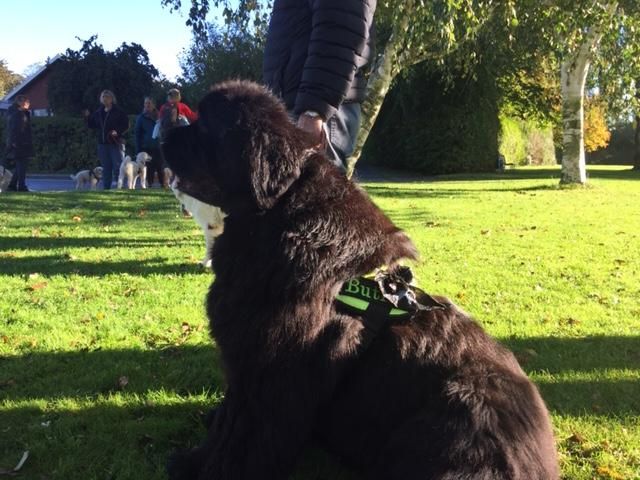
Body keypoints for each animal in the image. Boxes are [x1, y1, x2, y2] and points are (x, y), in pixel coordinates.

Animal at [162, 81, 559, 480]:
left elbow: (242, 436)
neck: (276, 213)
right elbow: (230, 420)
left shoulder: (269, 373)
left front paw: (202, 467)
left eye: (204, 126)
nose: (163, 132)